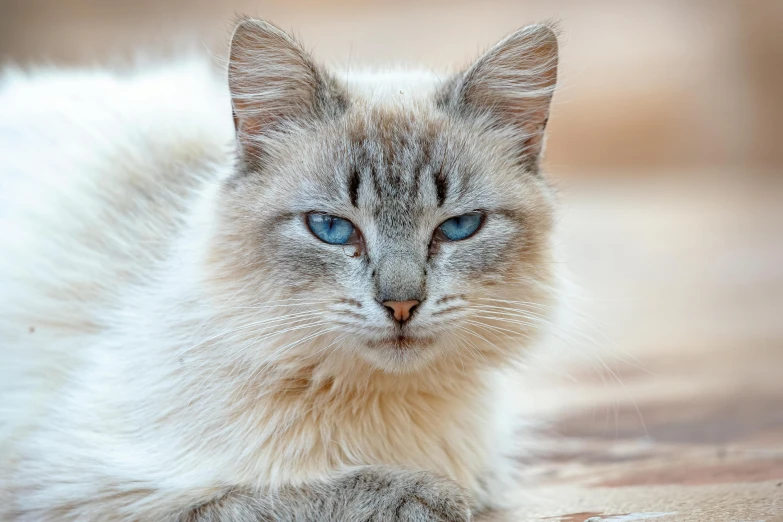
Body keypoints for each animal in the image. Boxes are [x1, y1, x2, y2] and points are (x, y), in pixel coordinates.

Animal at [1, 16, 564, 520]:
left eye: (459, 227)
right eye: (331, 229)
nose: (401, 305)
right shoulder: (91, 493)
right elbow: (287, 494)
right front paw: (428, 496)